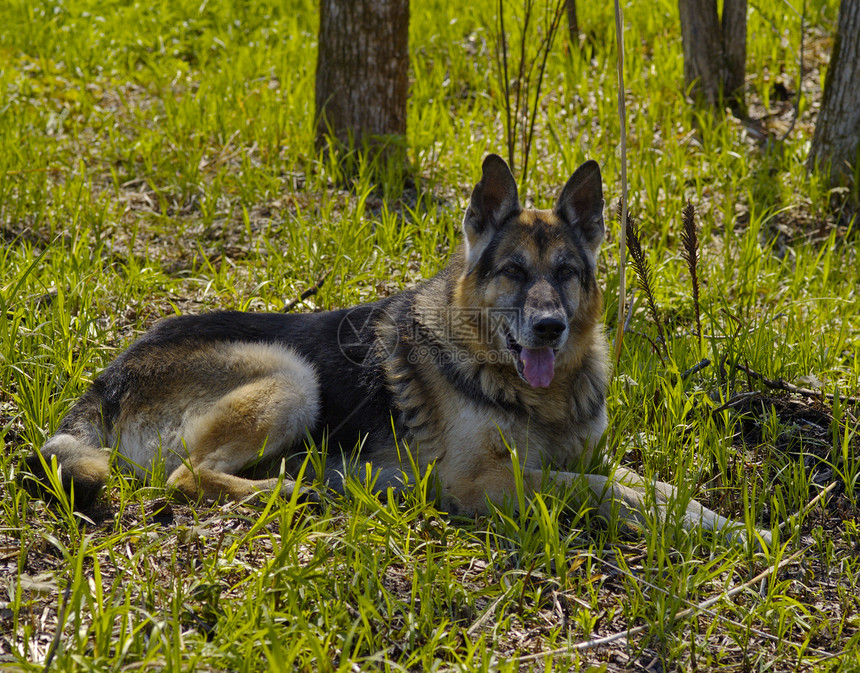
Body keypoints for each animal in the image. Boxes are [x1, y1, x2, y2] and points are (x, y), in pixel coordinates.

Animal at [25, 155, 764, 544]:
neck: (529, 390)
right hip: (291, 375)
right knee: (186, 477)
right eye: (514, 272)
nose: (550, 328)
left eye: (565, 274)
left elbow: (655, 485)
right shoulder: (484, 484)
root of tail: (108, 377)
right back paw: (299, 491)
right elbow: (603, 488)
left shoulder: (582, 453)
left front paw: (731, 527)